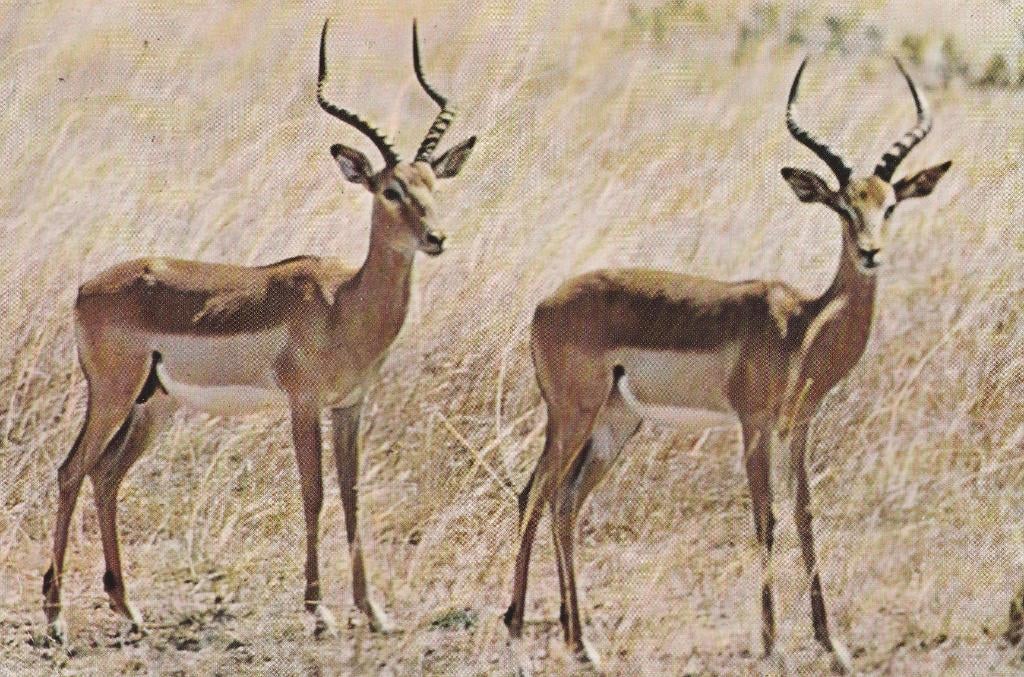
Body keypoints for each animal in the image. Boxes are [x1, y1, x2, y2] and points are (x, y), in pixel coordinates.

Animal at [42, 18, 476, 643]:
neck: (343, 303)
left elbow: (352, 496)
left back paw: (129, 608)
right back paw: (55, 618)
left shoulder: (350, 405)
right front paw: (319, 611)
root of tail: (85, 287)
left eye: (431, 185)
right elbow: (314, 493)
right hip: (113, 394)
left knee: (104, 474)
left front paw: (373, 611)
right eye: (389, 190)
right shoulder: (303, 404)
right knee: (71, 470)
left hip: (154, 404)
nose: (436, 238)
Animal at [503, 58, 950, 672]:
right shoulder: (754, 425)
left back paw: (583, 643)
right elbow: (767, 517)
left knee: (565, 503)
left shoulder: (798, 427)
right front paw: (770, 642)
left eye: (889, 205)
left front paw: (831, 642)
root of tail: (544, 303)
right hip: (572, 416)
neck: (801, 326)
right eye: (843, 206)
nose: (871, 253)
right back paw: (519, 632)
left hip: (615, 426)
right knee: (535, 494)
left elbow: (806, 515)